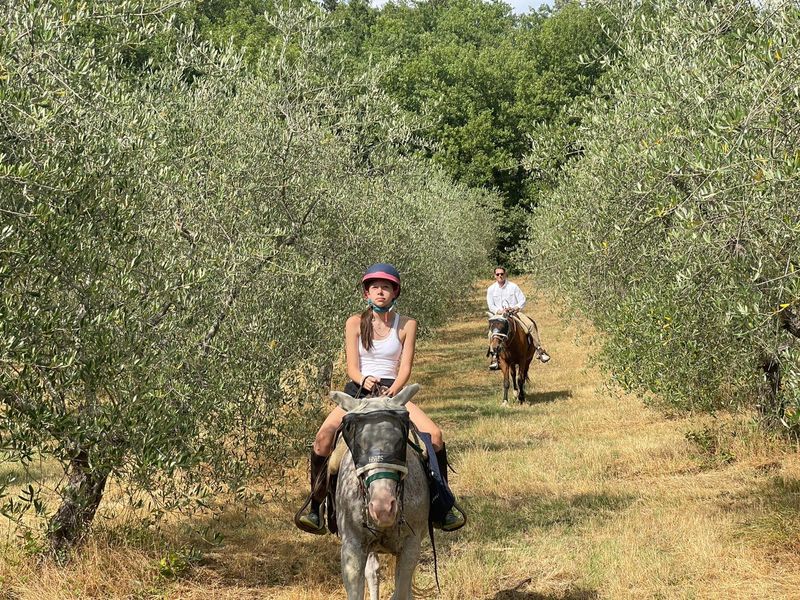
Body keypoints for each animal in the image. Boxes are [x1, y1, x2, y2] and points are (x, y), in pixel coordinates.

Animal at [332, 384, 432, 600]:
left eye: (400, 442)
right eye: (356, 444)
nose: (383, 508)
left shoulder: (411, 547)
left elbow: (401, 591)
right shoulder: (352, 548)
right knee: (373, 572)